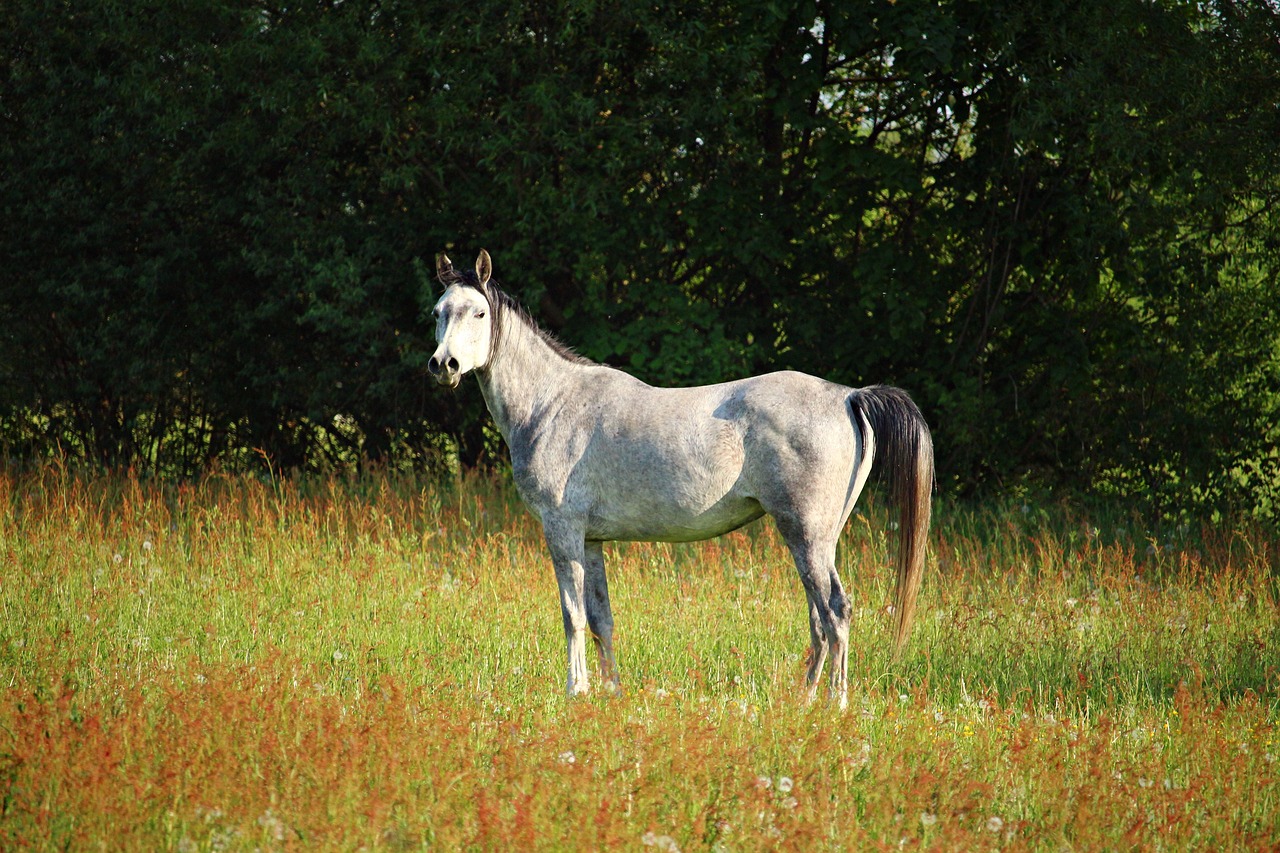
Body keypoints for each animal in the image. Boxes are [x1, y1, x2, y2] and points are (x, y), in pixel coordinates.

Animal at [424, 247, 936, 701]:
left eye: (479, 313)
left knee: (836, 612)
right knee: (819, 619)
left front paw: (576, 690)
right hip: (811, 540)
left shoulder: (562, 532)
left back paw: (834, 702)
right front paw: (611, 693)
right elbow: (601, 618)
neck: (552, 403)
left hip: (808, 535)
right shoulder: (591, 541)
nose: (443, 365)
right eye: (438, 312)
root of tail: (848, 396)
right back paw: (805, 699)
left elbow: (572, 616)